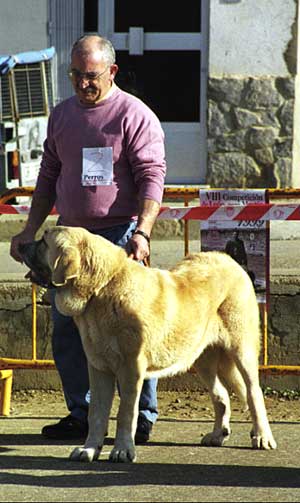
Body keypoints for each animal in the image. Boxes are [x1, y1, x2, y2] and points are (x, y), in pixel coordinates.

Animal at [18, 226, 276, 462]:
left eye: (43, 241)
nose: (20, 244)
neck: (102, 288)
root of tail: (229, 260)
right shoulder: (99, 369)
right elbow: (97, 414)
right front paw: (89, 449)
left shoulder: (131, 369)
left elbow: (126, 413)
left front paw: (123, 450)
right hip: (202, 357)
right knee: (221, 395)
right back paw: (217, 435)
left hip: (242, 350)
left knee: (253, 392)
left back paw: (262, 436)